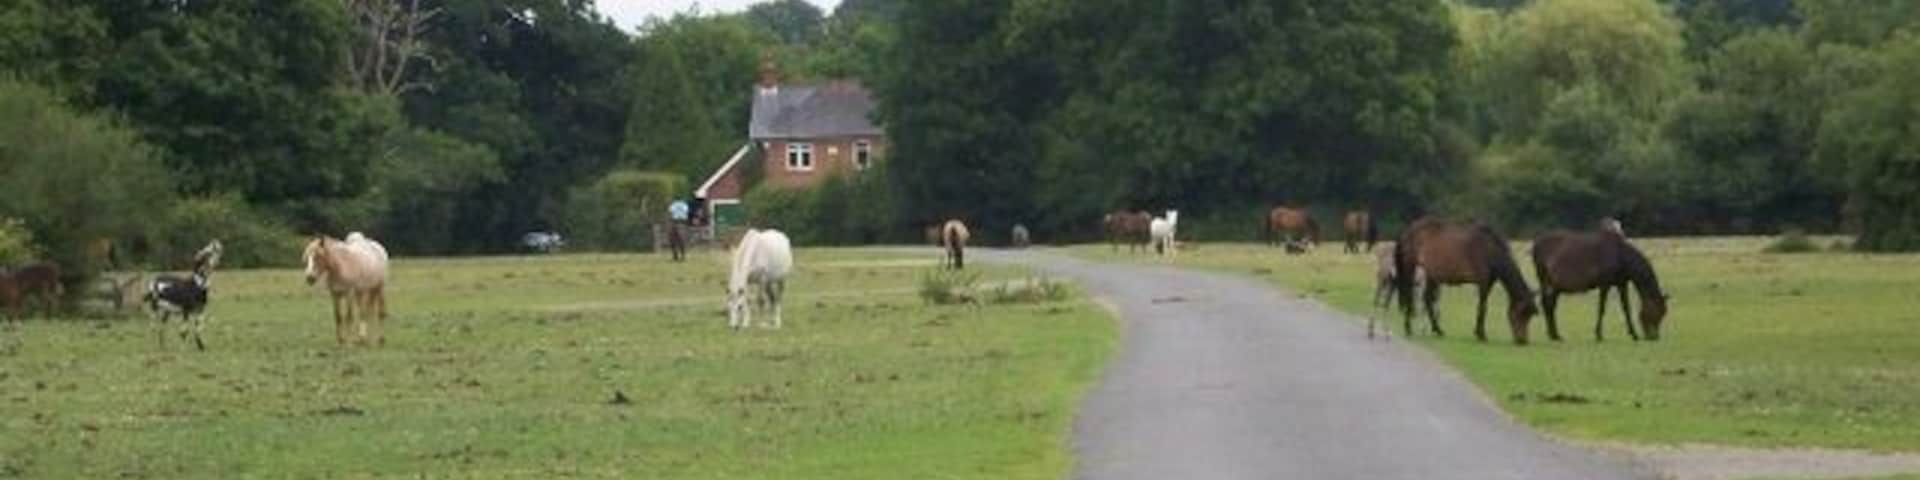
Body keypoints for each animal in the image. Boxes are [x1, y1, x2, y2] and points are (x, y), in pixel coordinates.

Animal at [1393, 217, 1539, 345]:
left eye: (1530, 315)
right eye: (1522, 314)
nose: (1522, 341)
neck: (1490, 248)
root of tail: (1408, 230)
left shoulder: (1489, 283)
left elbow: (1482, 306)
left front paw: (1478, 332)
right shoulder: (1483, 282)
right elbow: (1482, 307)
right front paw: (1481, 334)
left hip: (1431, 274)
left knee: (1427, 300)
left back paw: (1438, 330)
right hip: (1411, 267)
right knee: (1410, 296)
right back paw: (1408, 328)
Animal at [1531, 228, 1668, 342]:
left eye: (1663, 313)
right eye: (1657, 311)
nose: (1654, 337)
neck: (1621, 256)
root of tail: (1535, 245)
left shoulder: (1621, 284)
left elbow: (1626, 308)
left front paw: (1634, 334)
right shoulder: (1604, 284)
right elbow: (1601, 309)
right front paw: (1598, 335)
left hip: (1555, 286)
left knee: (1550, 305)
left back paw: (1555, 335)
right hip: (1544, 280)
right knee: (1547, 304)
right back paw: (1553, 335)